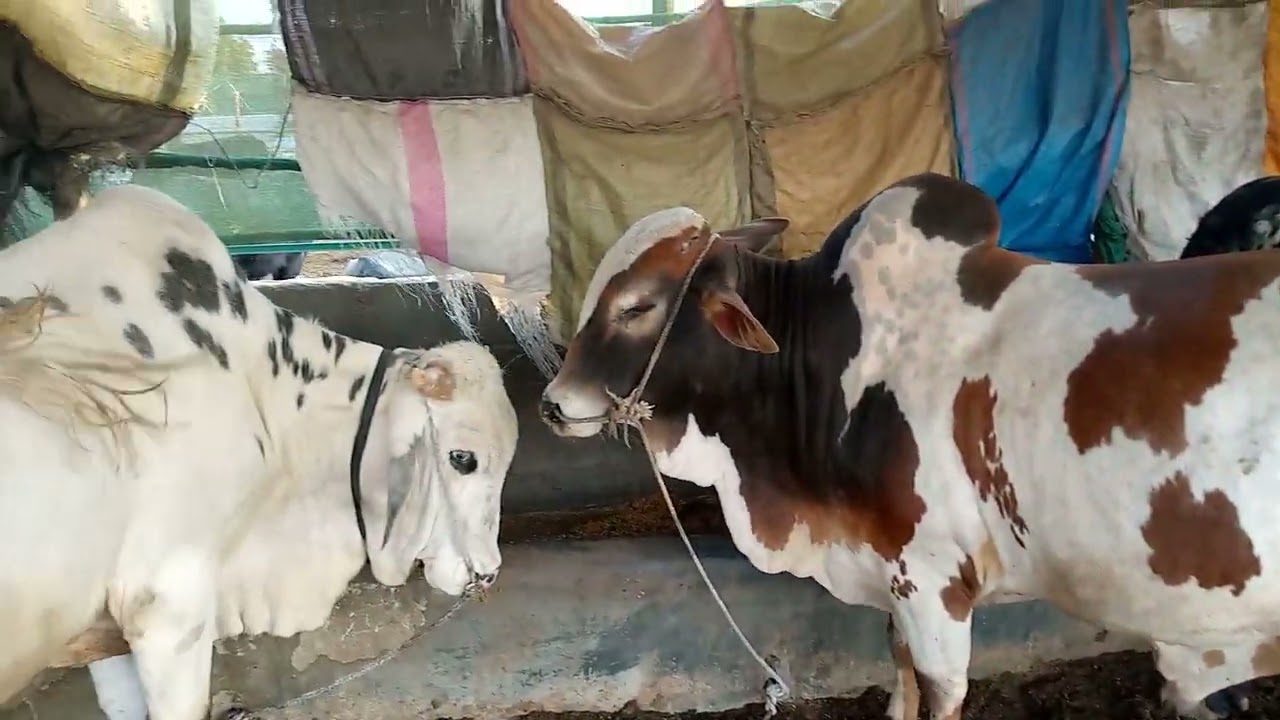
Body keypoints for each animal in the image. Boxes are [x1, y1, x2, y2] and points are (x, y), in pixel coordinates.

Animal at [540, 172, 1280, 720]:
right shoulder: (886, 565)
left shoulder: (932, 579)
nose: (553, 402)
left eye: (637, 306)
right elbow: (896, 663)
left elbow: (939, 688)